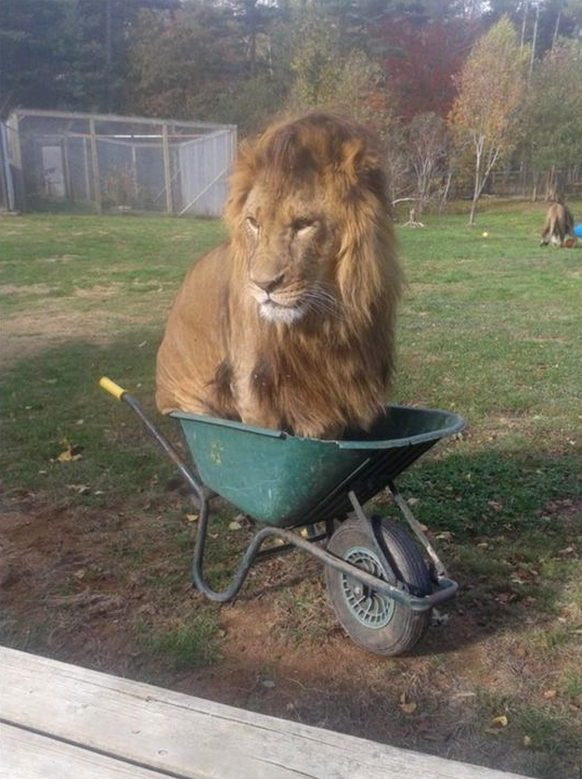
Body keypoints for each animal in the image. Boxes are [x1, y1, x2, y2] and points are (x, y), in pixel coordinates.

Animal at [155, 111, 404, 438]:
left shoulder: (331, 397)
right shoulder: (253, 387)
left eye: (303, 224)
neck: (320, 326)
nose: (263, 285)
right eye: (253, 222)